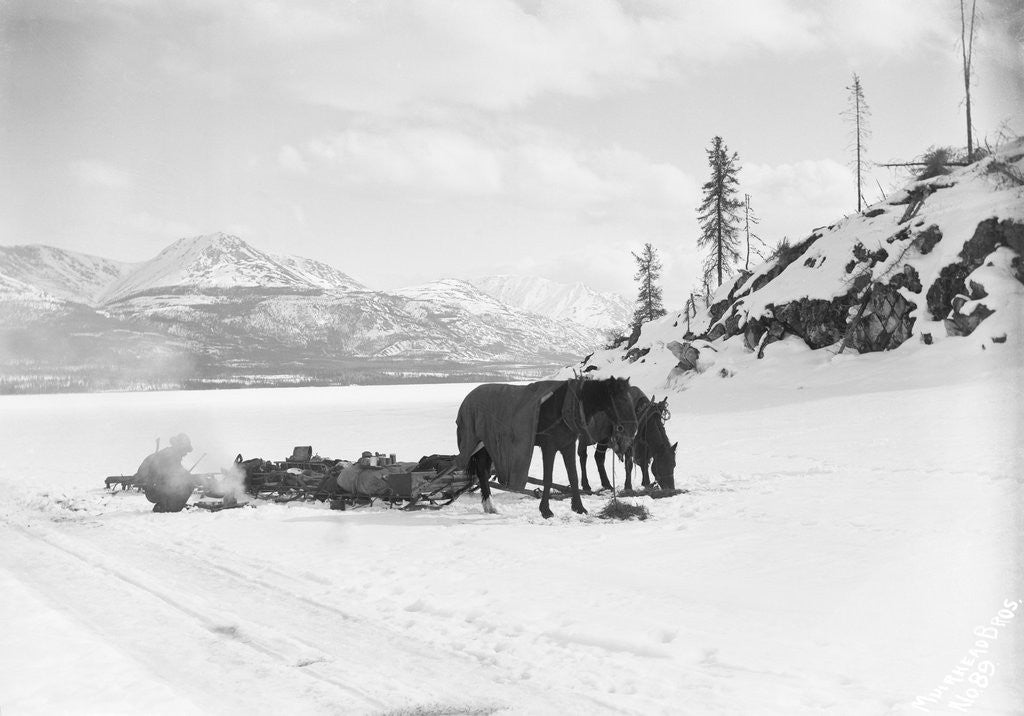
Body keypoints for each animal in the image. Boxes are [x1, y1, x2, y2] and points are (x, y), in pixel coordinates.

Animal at [456, 377, 637, 518]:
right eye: (621, 400)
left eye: (631, 398)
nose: (633, 428)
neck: (565, 407)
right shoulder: (549, 447)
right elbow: (548, 478)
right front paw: (546, 511)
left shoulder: (567, 445)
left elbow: (573, 476)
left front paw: (579, 507)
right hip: (480, 444)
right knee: (482, 472)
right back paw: (490, 505)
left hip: (488, 445)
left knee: (483, 472)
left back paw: (489, 506)